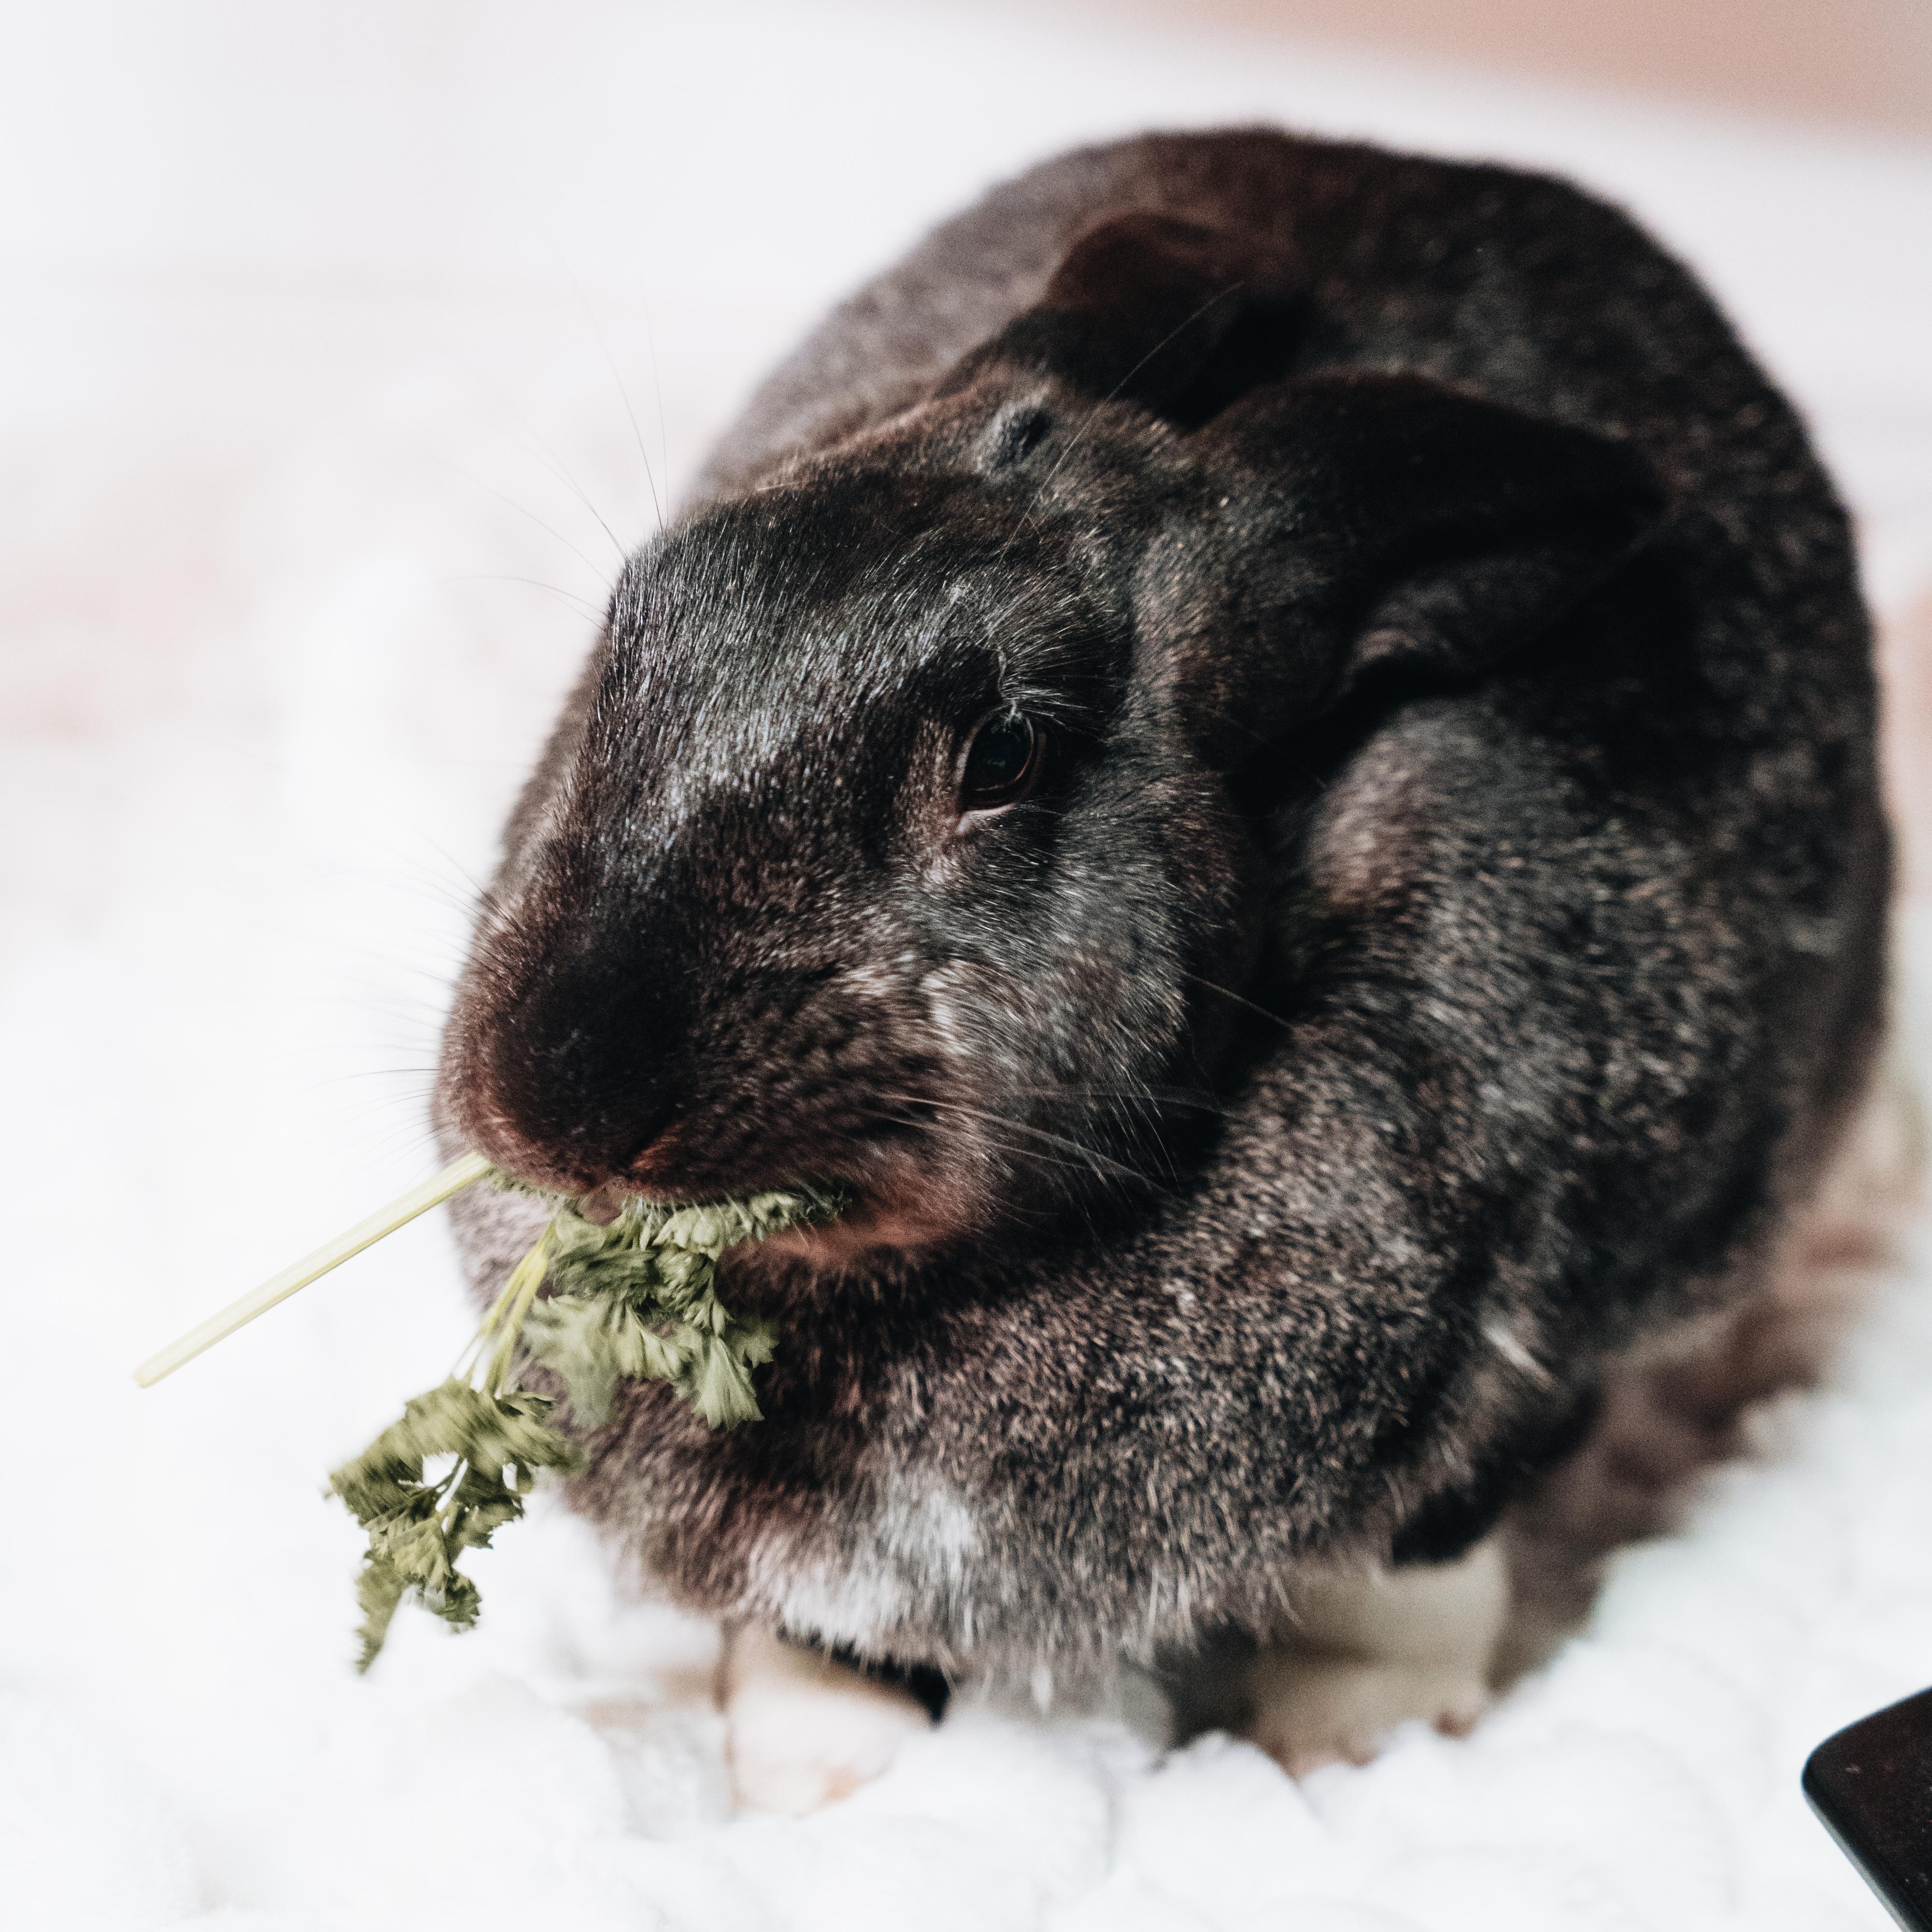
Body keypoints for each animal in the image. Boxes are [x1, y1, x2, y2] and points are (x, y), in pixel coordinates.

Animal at [435, 127, 1892, 1805]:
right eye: (640, 625)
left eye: (1006, 753)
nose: (557, 1101)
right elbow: (822, 1627)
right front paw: (819, 1774)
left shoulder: (1533, 1344)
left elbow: (1412, 1572)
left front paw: (1344, 1754)